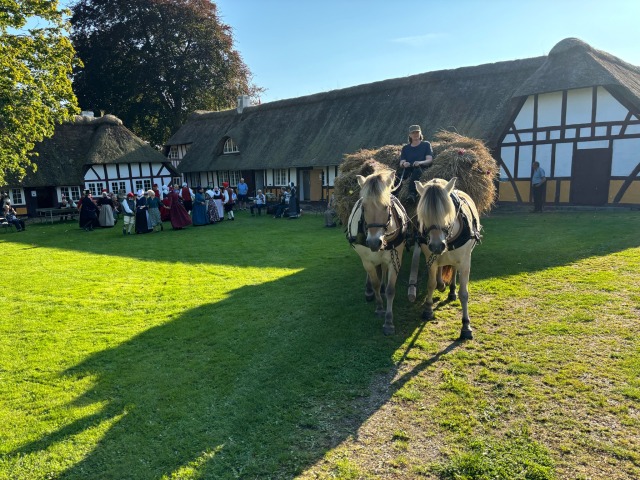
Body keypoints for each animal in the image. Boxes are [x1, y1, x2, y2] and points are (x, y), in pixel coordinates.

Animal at [348, 171, 408, 336]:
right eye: (364, 207)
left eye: (386, 206)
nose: (375, 242)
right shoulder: (367, 260)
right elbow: (374, 282)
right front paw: (380, 307)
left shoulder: (395, 258)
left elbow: (390, 289)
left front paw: (388, 322)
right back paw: (369, 291)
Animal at [412, 177, 482, 342]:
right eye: (422, 216)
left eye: (447, 213)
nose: (437, 245)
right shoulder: (430, 257)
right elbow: (430, 284)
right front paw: (428, 309)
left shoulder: (465, 262)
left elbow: (464, 293)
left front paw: (466, 326)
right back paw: (442, 285)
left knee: (453, 269)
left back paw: (451, 291)